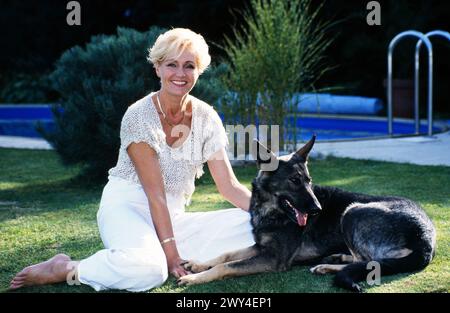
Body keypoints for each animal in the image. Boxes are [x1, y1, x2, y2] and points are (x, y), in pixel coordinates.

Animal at [178, 135, 436, 292]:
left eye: (309, 181)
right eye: (294, 181)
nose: (317, 209)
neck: (271, 209)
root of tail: (426, 238)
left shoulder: (273, 258)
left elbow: (227, 266)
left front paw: (194, 278)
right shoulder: (261, 248)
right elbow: (226, 255)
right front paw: (198, 265)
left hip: (352, 211)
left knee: (370, 262)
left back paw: (330, 265)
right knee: (367, 261)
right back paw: (333, 260)